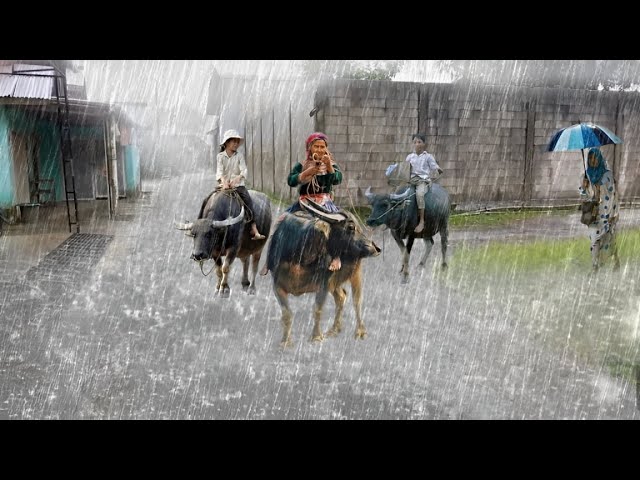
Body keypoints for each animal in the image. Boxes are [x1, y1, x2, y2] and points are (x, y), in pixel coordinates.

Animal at [264, 202, 380, 348]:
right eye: (351, 227)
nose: (375, 248)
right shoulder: (277, 286)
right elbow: (286, 313)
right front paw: (285, 342)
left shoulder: (323, 285)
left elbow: (317, 309)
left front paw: (316, 337)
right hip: (335, 281)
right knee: (341, 296)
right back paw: (334, 330)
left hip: (355, 273)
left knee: (357, 300)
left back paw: (360, 332)